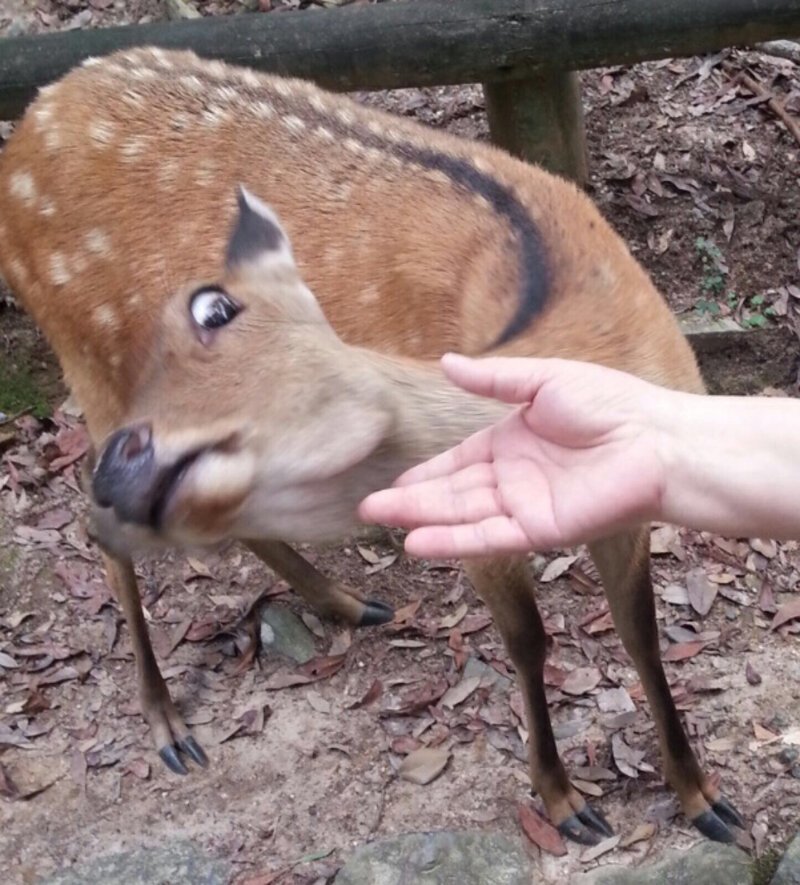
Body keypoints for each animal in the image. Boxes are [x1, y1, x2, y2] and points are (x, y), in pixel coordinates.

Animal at [0, 46, 748, 844]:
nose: (128, 472)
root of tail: (31, 122)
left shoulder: (625, 506)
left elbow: (641, 632)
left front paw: (705, 798)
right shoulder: (471, 519)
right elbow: (529, 639)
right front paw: (564, 801)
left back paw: (347, 602)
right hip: (86, 358)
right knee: (101, 531)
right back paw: (168, 722)